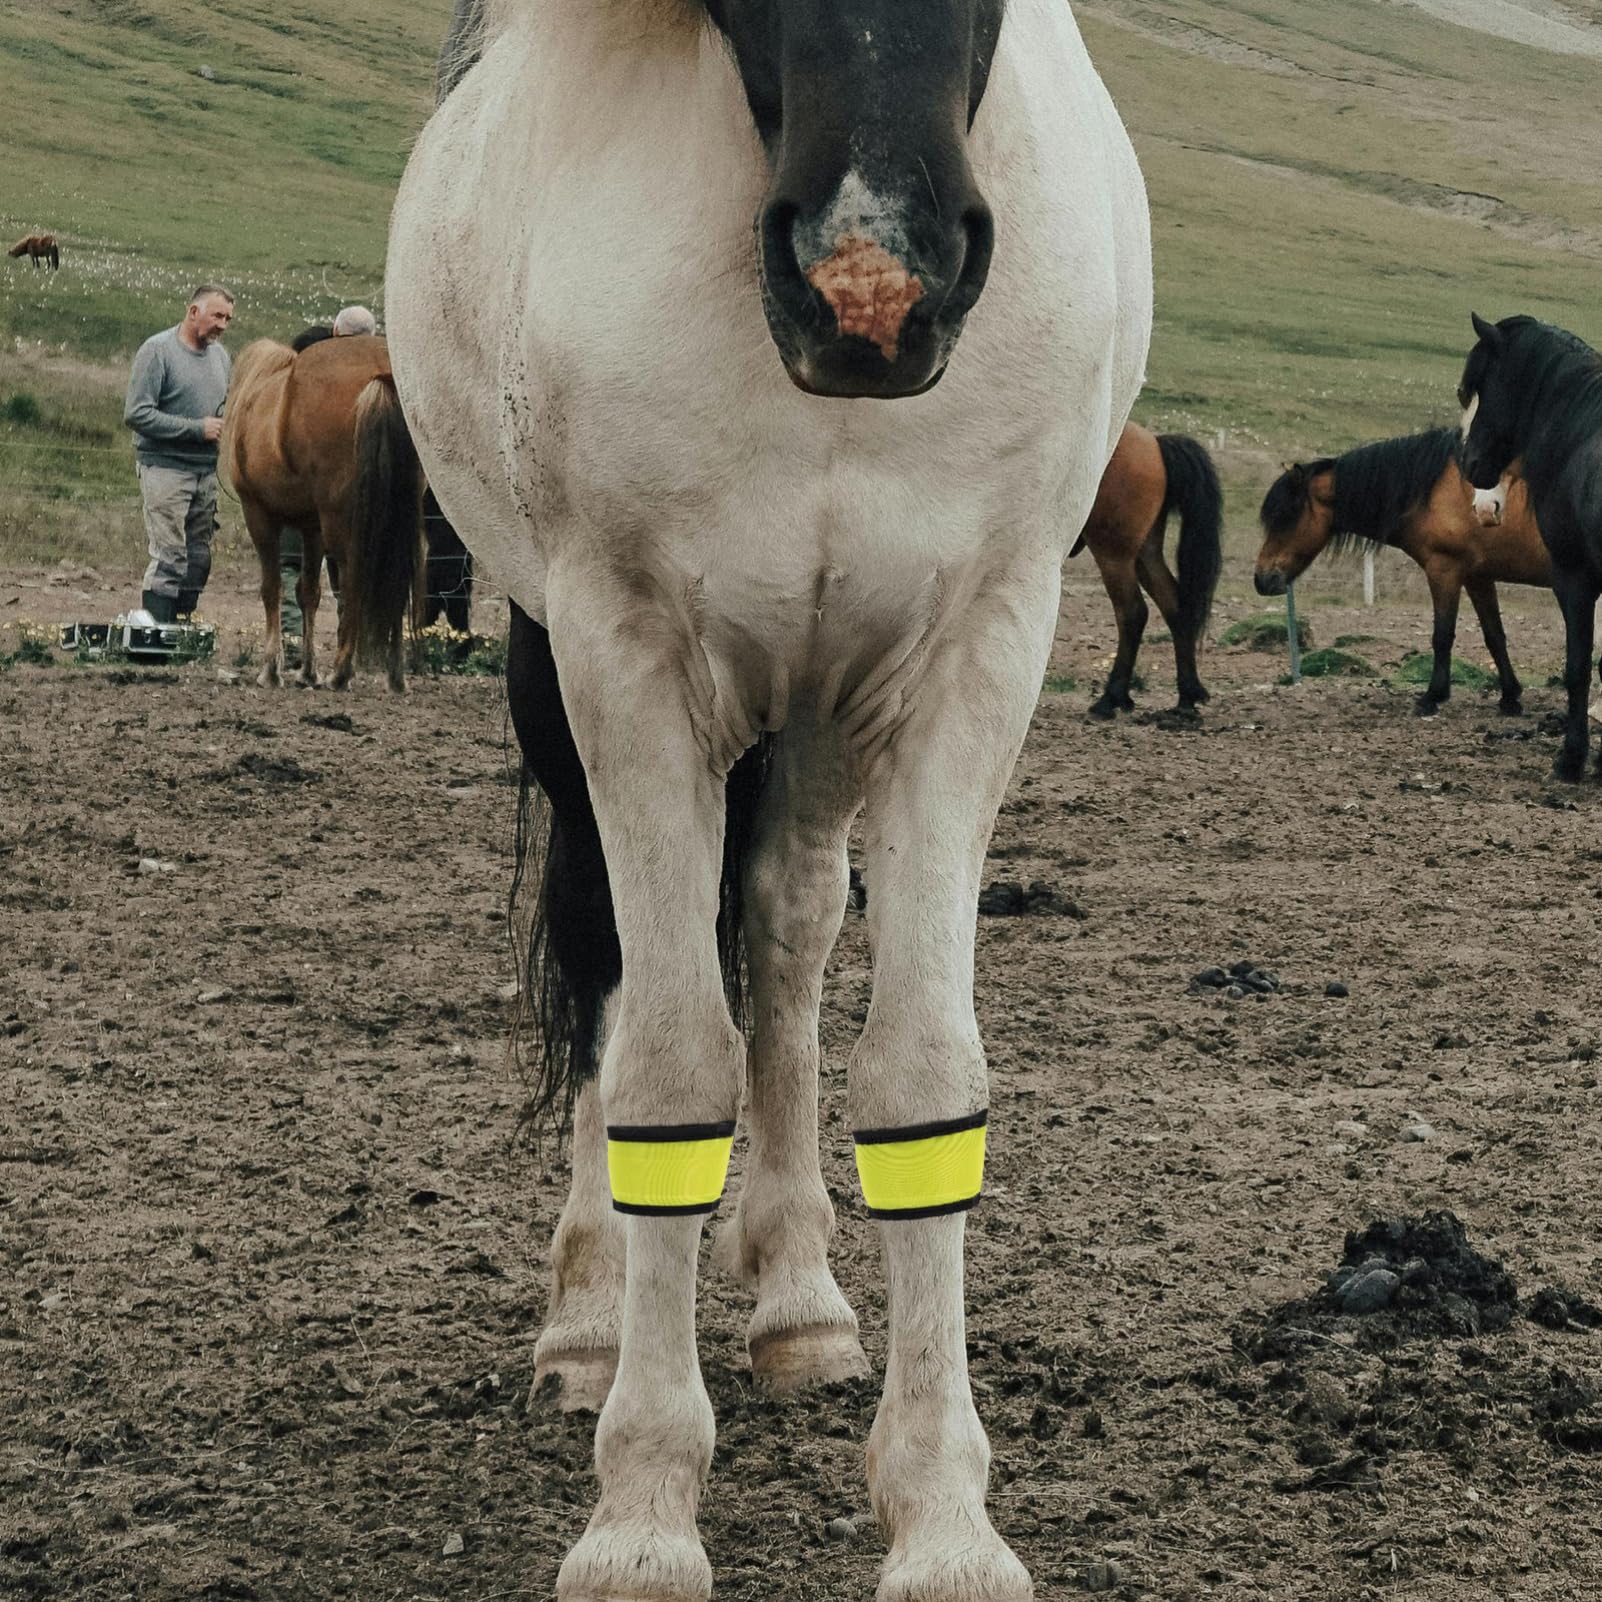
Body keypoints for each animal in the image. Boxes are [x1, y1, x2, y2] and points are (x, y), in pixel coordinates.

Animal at [219, 333, 422, 691]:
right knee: (397, 580)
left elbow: (272, 589)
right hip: (400, 523)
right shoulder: (311, 528)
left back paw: (341, 671)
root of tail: (381, 373)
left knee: (354, 578)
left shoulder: (259, 515)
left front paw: (271, 670)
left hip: (343, 524)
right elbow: (308, 593)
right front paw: (307, 671)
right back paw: (396, 675)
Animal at [380, 1, 1151, 1596]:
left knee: (790, 931)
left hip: (816, 707)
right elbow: (672, 1064)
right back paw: (586, 1323)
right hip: (565, 673)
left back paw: (800, 1297)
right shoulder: (623, 657)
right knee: (613, 960)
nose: (873, 285)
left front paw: (942, 1516)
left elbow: (920, 1073)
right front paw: (643, 1505)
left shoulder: (974, 655)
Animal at [1071, 421, 1222, 717]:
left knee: (1132, 613)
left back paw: (1111, 697)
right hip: (1145, 554)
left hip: (1114, 555)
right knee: (1175, 606)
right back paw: (1187, 695)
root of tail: (1154, 442)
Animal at [1255, 428, 1549, 715]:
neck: (1439, 490)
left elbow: (1442, 636)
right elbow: (1494, 636)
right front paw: (1510, 697)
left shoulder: (1444, 571)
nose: (1262, 580)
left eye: (1285, 515)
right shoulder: (1478, 577)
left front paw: (1432, 696)